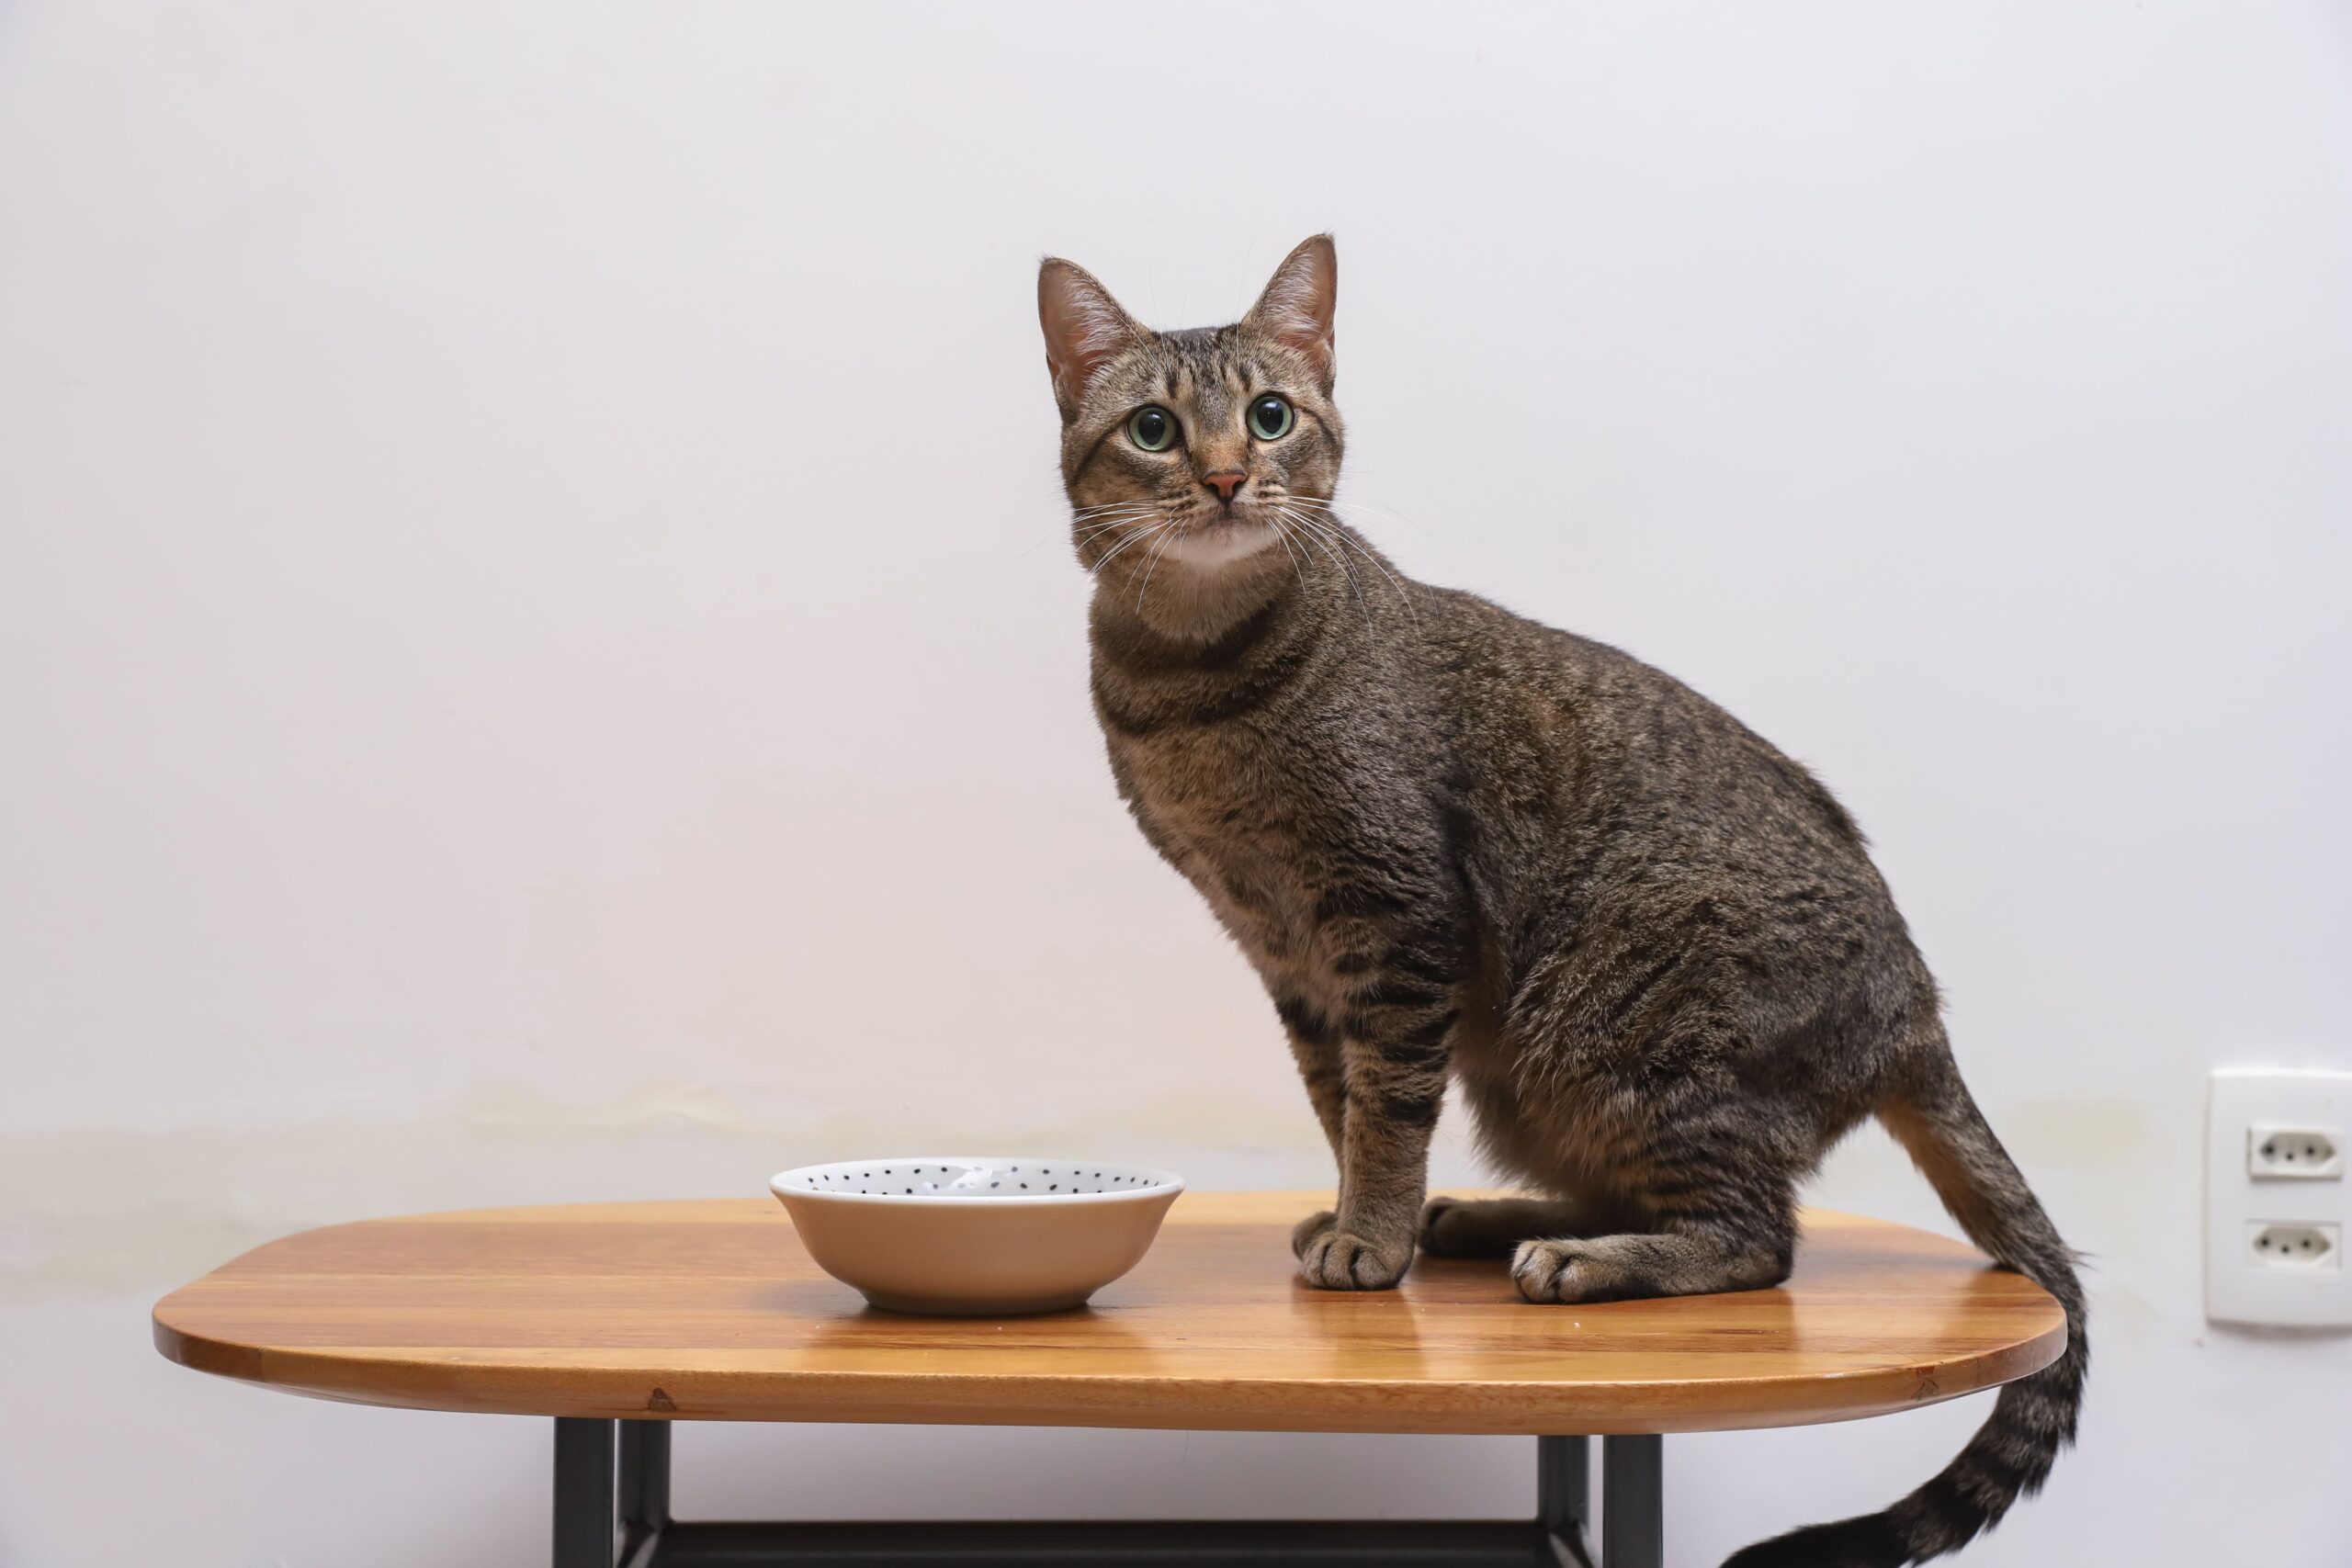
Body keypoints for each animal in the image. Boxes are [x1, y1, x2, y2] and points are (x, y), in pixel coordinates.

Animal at [1039, 236, 2088, 1568]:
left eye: (1270, 417)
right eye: (1156, 429)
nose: (1227, 477)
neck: (1192, 690)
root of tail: (1916, 1010)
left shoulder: (1396, 919)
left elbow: (1385, 1110)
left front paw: (1372, 1235)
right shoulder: (1285, 950)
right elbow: (1342, 1105)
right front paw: (1372, 1219)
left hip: (1616, 1035)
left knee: (1760, 1240)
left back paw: (1585, 1258)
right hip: (1543, 1080)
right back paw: (1488, 1218)